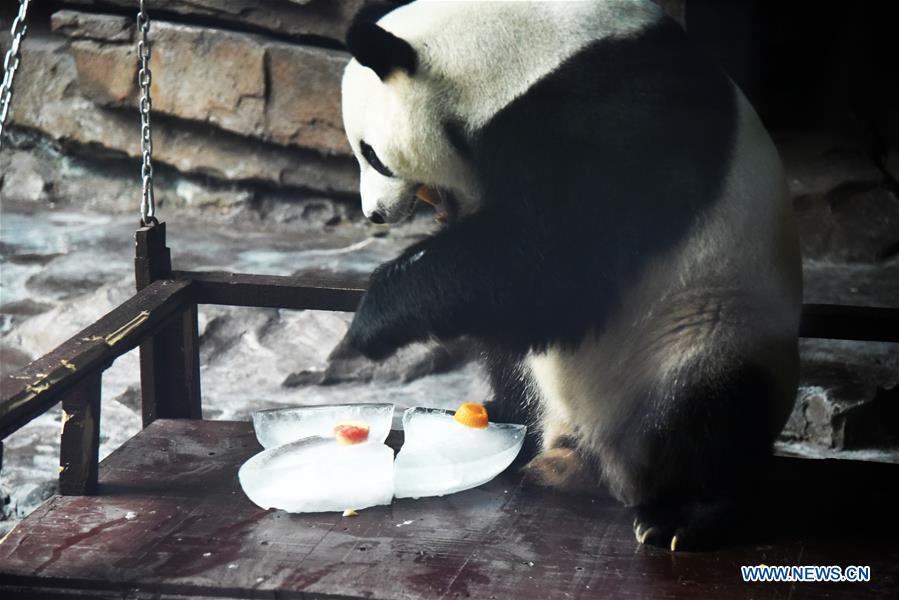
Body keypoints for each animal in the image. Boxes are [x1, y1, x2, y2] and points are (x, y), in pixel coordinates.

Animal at [340, 0, 802, 551]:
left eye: (371, 154)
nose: (374, 215)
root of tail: (589, 453)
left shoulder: (614, 113)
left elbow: (556, 262)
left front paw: (371, 320)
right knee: (509, 356)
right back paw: (502, 420)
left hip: (703, 330)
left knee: (710, 413)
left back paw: (685, 515)